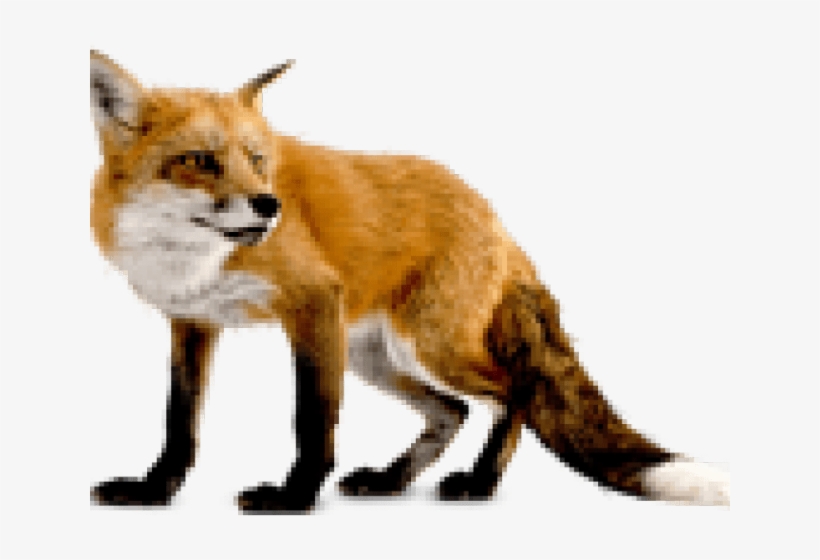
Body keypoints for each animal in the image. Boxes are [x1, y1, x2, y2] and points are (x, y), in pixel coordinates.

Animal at [89, 50, 730, 513]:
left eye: (257, 159)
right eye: (199, 161)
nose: (269, 206)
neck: (191, 258)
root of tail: (493, 216)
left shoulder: (312, 303)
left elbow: (312, 419)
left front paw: (294, 497)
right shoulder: (193, 321)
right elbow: (179, 422)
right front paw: (154, 490)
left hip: (426, 345)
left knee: (513, 393)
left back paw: (479, 483)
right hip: (373, 356)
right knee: (453, 412)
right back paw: (390, 480)